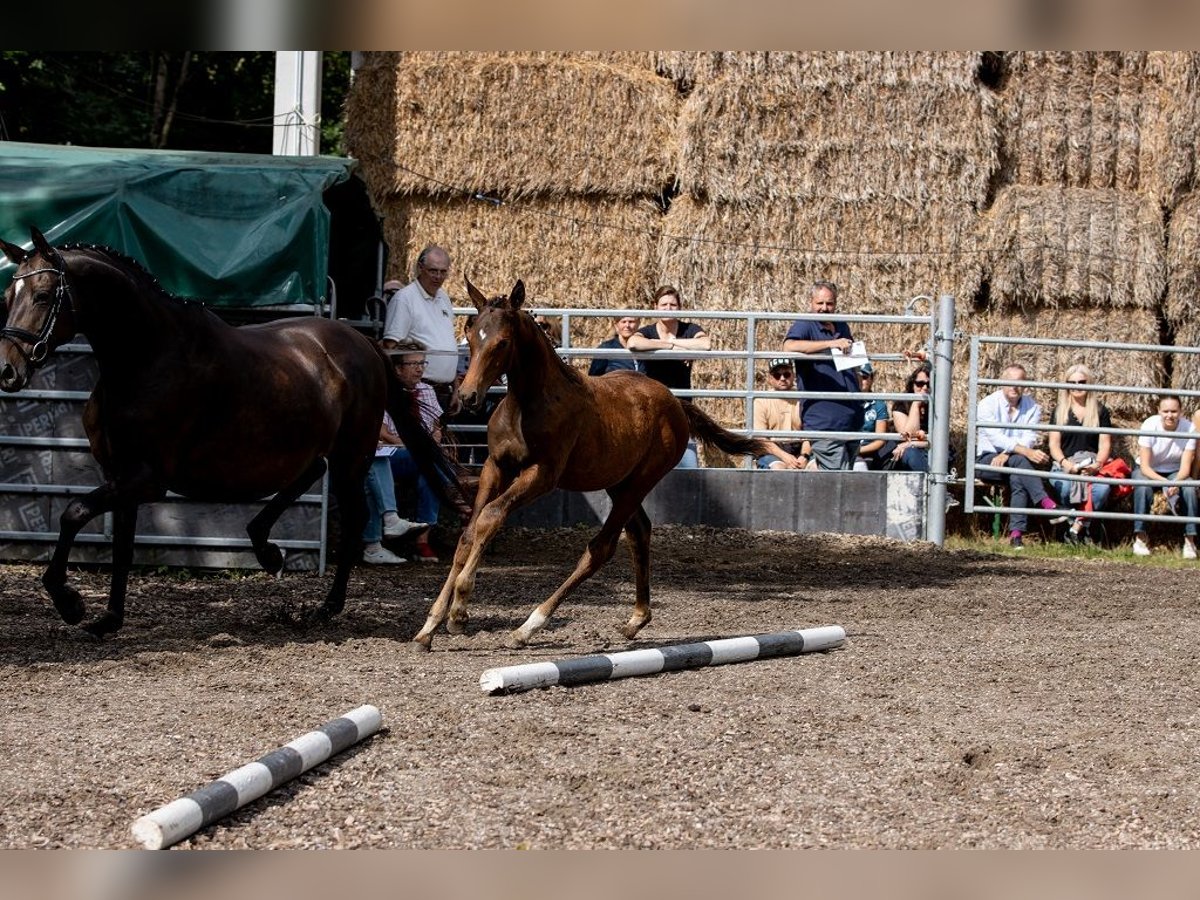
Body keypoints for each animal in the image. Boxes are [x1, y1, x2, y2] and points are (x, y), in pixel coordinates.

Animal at [0, 229, 453, 638]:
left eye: (43, 295)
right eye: (8, 296)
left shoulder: (146, 479)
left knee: (355, 514)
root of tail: (363, 341)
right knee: (309, 474)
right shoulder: (122, 475)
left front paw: (69, 602)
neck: (146, 359)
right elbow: (122, 547)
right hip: (315, 447)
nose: (8, 370)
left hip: (353, 453)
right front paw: (108, 619)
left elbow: (73, 512)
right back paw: (266, 549)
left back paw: (327, 606)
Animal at [412, 278, 796, 652]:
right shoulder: (496, 466)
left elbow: (491, 517)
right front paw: (429, 627)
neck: (528, 403)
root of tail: (675, 403)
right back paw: (636, 620)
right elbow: (469, 532)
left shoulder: (543, 474)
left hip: (641, 480)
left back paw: (528, 627)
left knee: (602, 547)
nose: (467, 397)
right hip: (619, 482)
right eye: (470, 332)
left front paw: (459, 612)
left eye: (502, 342)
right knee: (639, 531)